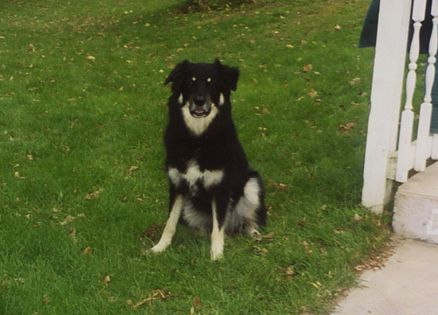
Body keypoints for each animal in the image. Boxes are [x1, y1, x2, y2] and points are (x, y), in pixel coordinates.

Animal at [149, 59, 266, 262]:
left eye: (212, 83)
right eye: (191, 82)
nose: (199, 101)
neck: (198, 138)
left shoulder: (221, 189)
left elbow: (217, 229)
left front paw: (216, 256)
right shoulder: (177, 186)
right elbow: (169, 223)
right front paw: (160, 247)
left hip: (252, 184)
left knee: (248, 220)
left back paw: (253, 234)